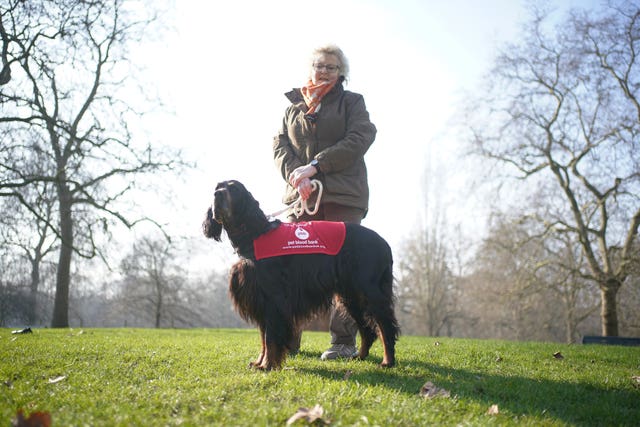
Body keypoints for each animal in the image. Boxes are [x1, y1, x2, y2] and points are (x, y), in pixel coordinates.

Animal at [202, 181, 398, 372]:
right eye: (217, 186)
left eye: (234, 189)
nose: (217, 194)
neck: (254, 234)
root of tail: (384, 243)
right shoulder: (260, 300)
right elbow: (263, 338)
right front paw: (259, 362)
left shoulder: (274, 299)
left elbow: (270, 337)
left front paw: (267, 365)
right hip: (351, 296)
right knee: (368, 330)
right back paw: (360, 357)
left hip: (370, 291)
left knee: (385, 326)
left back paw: (387, 361)